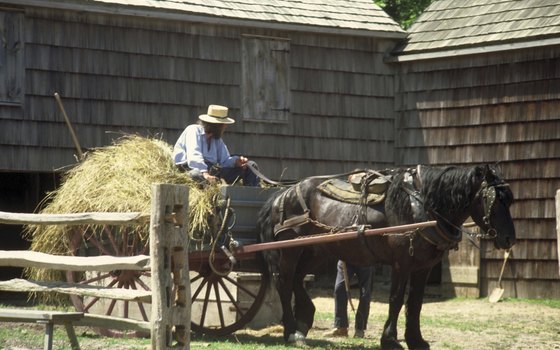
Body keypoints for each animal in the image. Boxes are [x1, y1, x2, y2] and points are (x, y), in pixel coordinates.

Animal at [256, 165, 516, 350]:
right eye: (492, 201)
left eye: (510, 200)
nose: (509, 239)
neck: (422, 206)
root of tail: (282, 194)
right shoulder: (402, 263)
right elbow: (396, 300)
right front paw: (390, 340)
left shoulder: (423, 267)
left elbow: (415, 303)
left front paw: (416, 340)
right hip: (289, 250)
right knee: (284, 283)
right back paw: (291, 331)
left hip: (316, 251)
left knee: (297, 279)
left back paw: (303, 322)